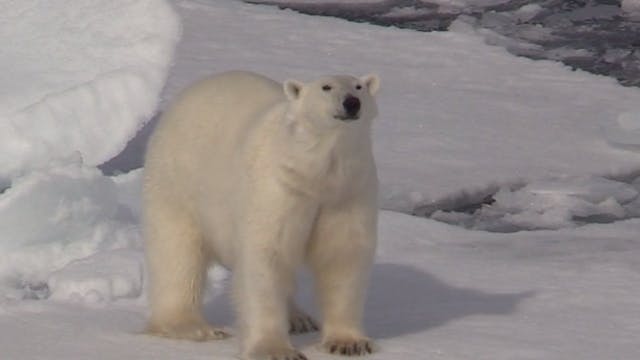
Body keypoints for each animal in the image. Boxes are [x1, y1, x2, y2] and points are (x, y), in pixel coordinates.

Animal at [145, 71, 380, 360]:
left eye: (358, 86)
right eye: (326, 87)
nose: (351, 102)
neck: (316, 174)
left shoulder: (347, 193)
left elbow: (342, 256)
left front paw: (349, 343)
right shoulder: (276, 188)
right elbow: (267, 258)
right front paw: (276, 350)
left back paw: (298, 318)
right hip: (177, 180)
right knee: (177, 254)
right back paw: (193, 327)